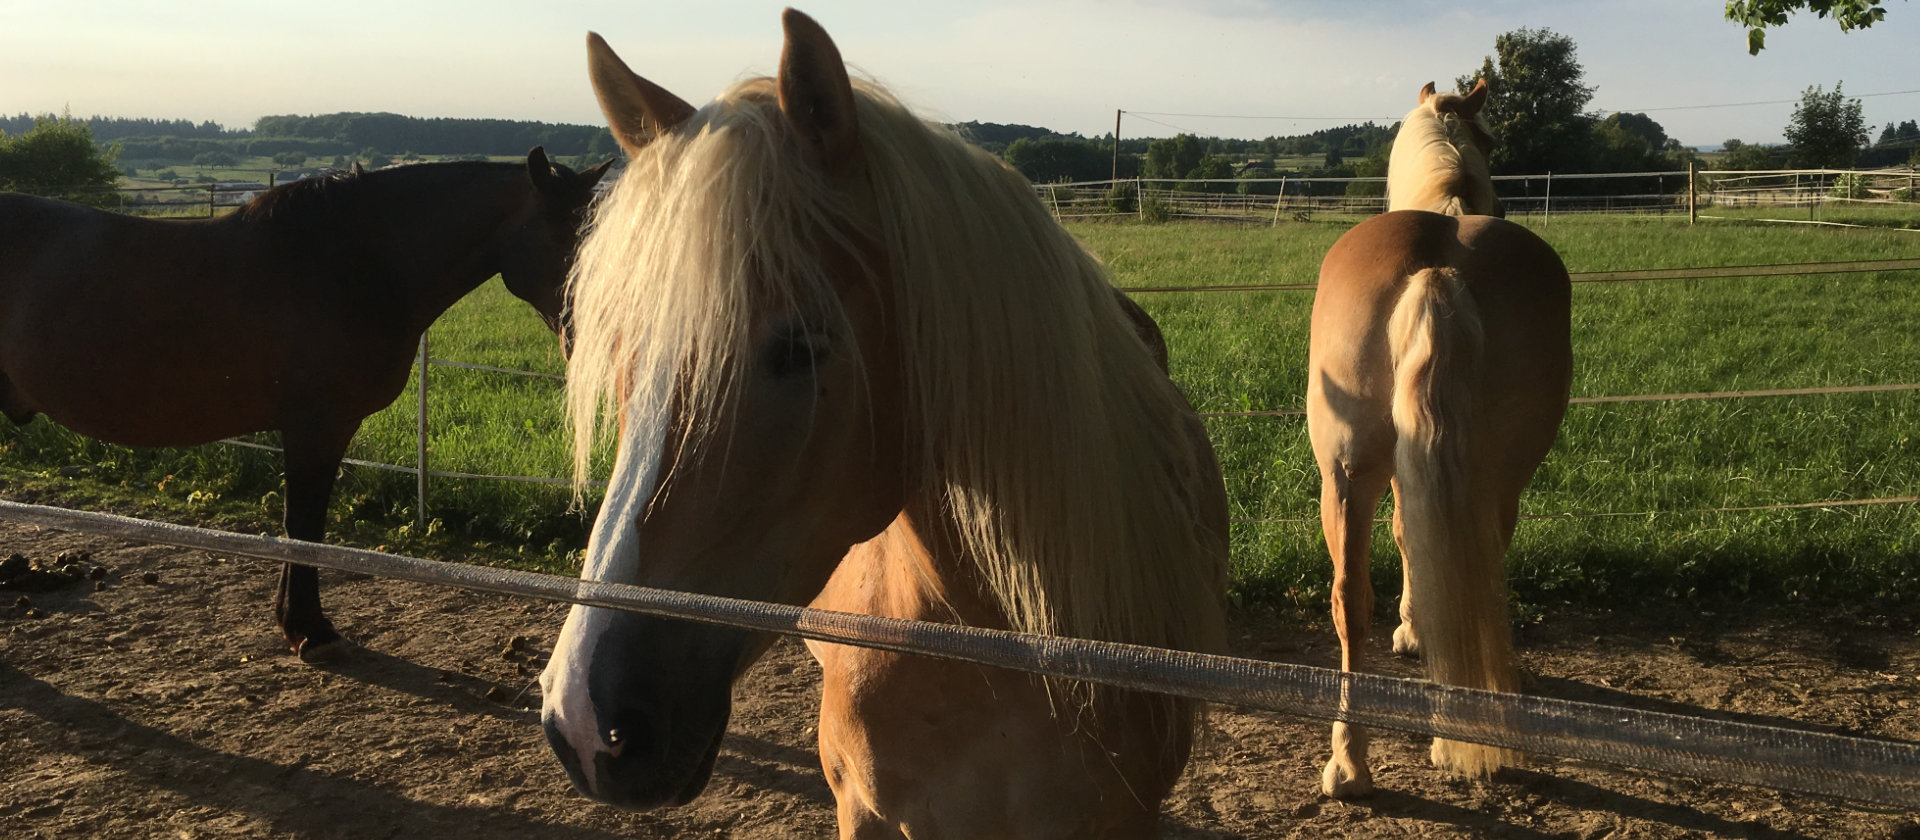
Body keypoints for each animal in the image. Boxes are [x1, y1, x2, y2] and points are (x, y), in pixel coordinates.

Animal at [0, 149, 609, 661]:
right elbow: (305, 524)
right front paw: (309, 629)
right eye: (574, 244)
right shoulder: (315, 427)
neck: (355, 261)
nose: (596, 341)